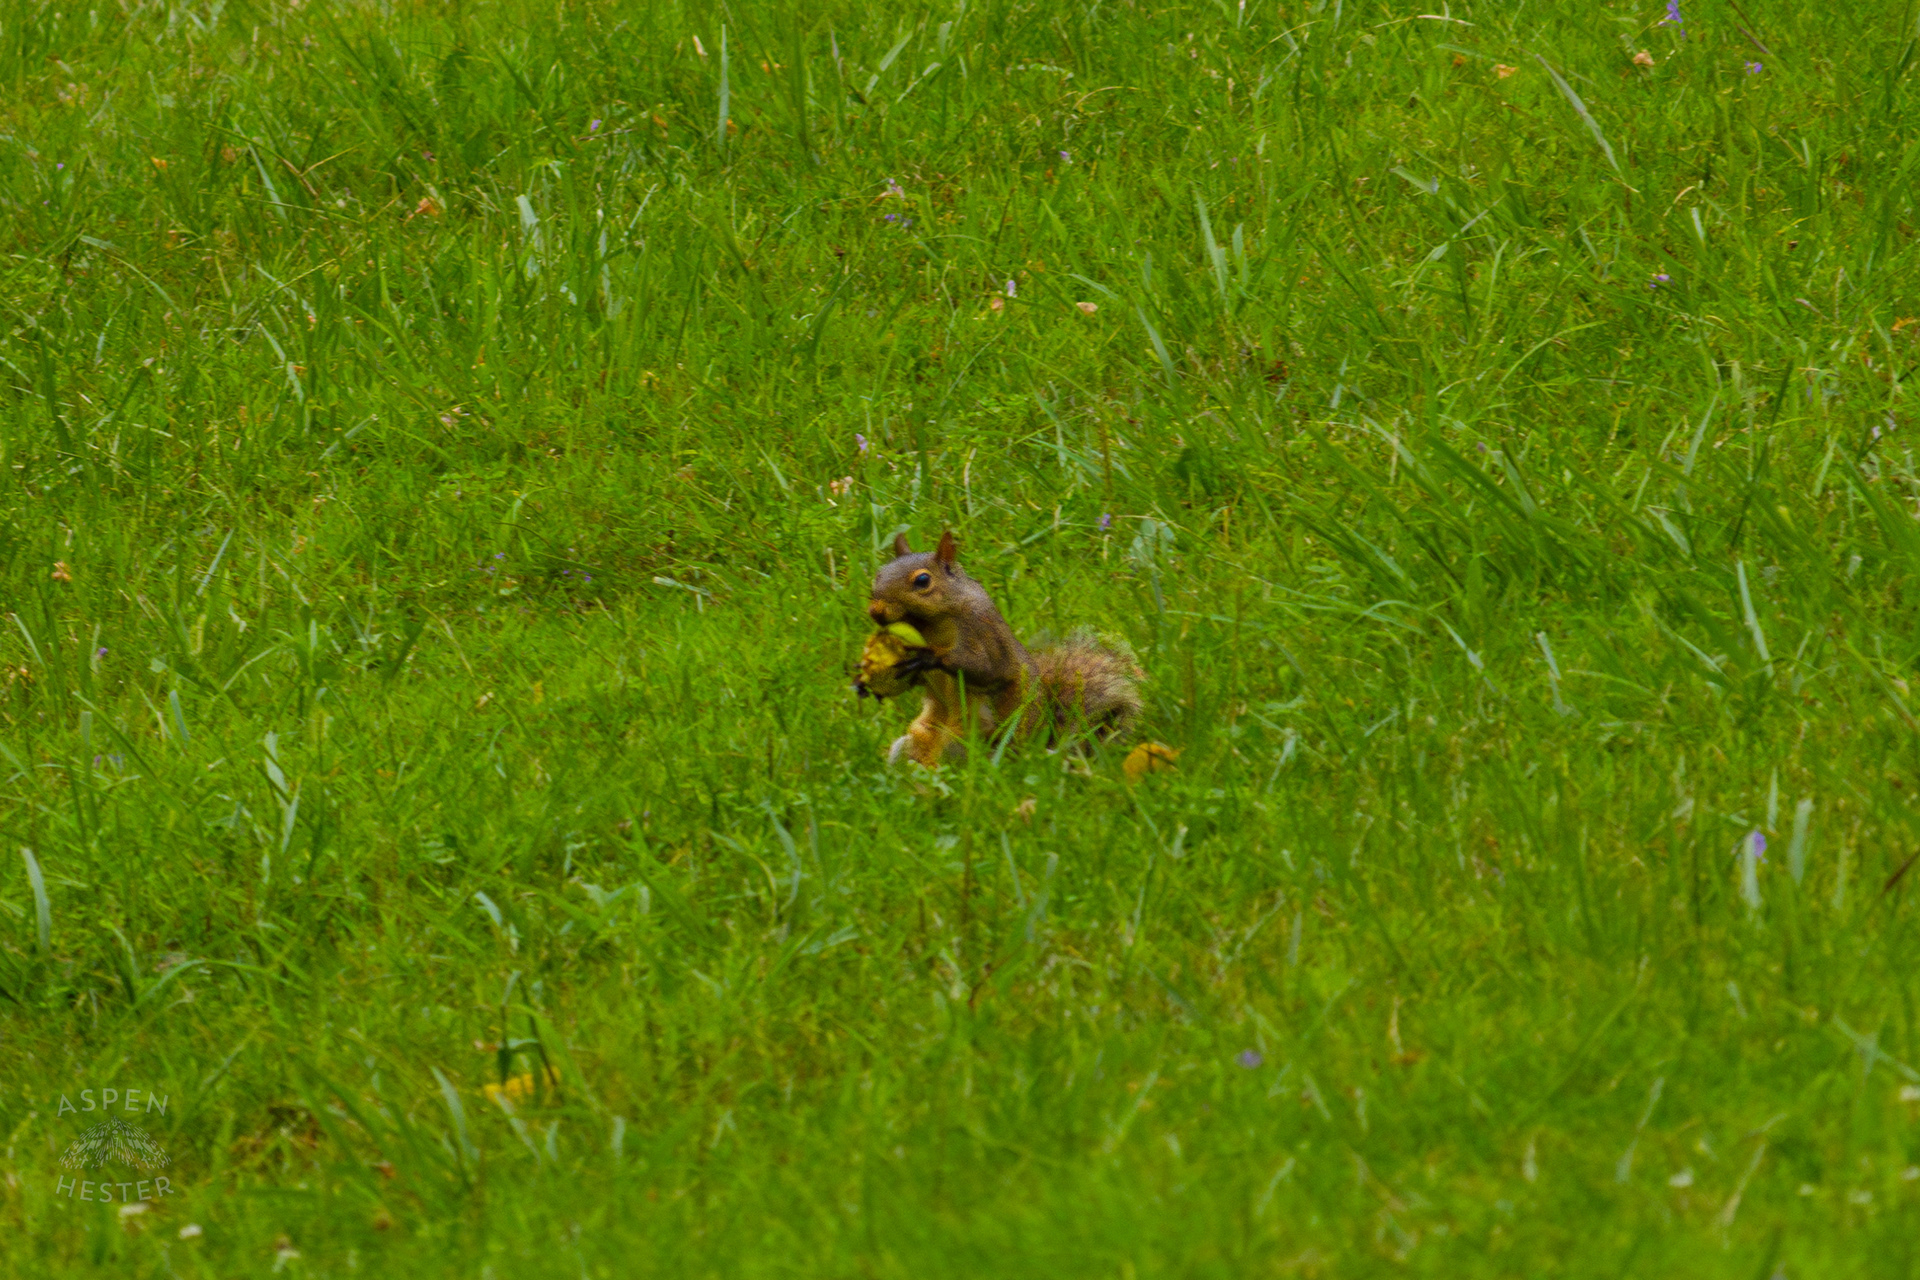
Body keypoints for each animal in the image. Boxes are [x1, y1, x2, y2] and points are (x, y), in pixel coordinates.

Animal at [859, 530, 1144, 766]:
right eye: (878, 574)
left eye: (922, 581)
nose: (875, 610)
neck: (928, 625)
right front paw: (864, 680)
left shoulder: (982, 632)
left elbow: (989, 670)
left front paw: (930, 656)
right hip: (913, 742)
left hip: (964, 743)